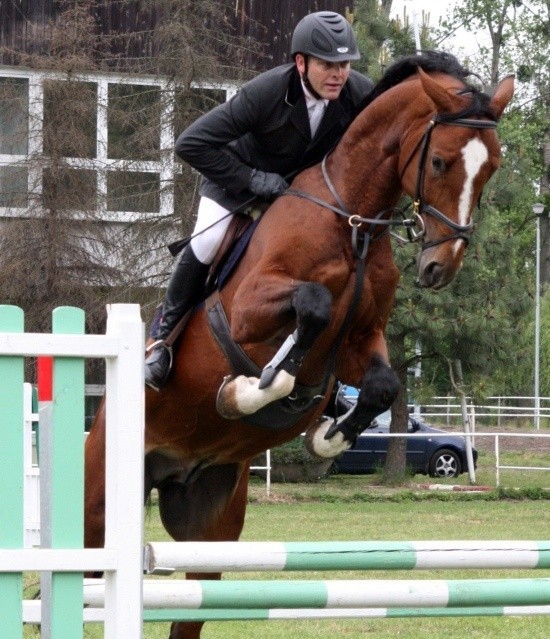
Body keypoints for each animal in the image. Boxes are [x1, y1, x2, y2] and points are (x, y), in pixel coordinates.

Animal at [84, 52, 516, 636]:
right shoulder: (247, 311)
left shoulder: (360, 340)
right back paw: (161, 362)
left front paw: (329, 436)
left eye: (491, 169)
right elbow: (311, 306)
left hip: (211, 530)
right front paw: (250, 391)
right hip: (99, 504)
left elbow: (382, 384)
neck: (352, 219)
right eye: (441, 161)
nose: (438, 268)